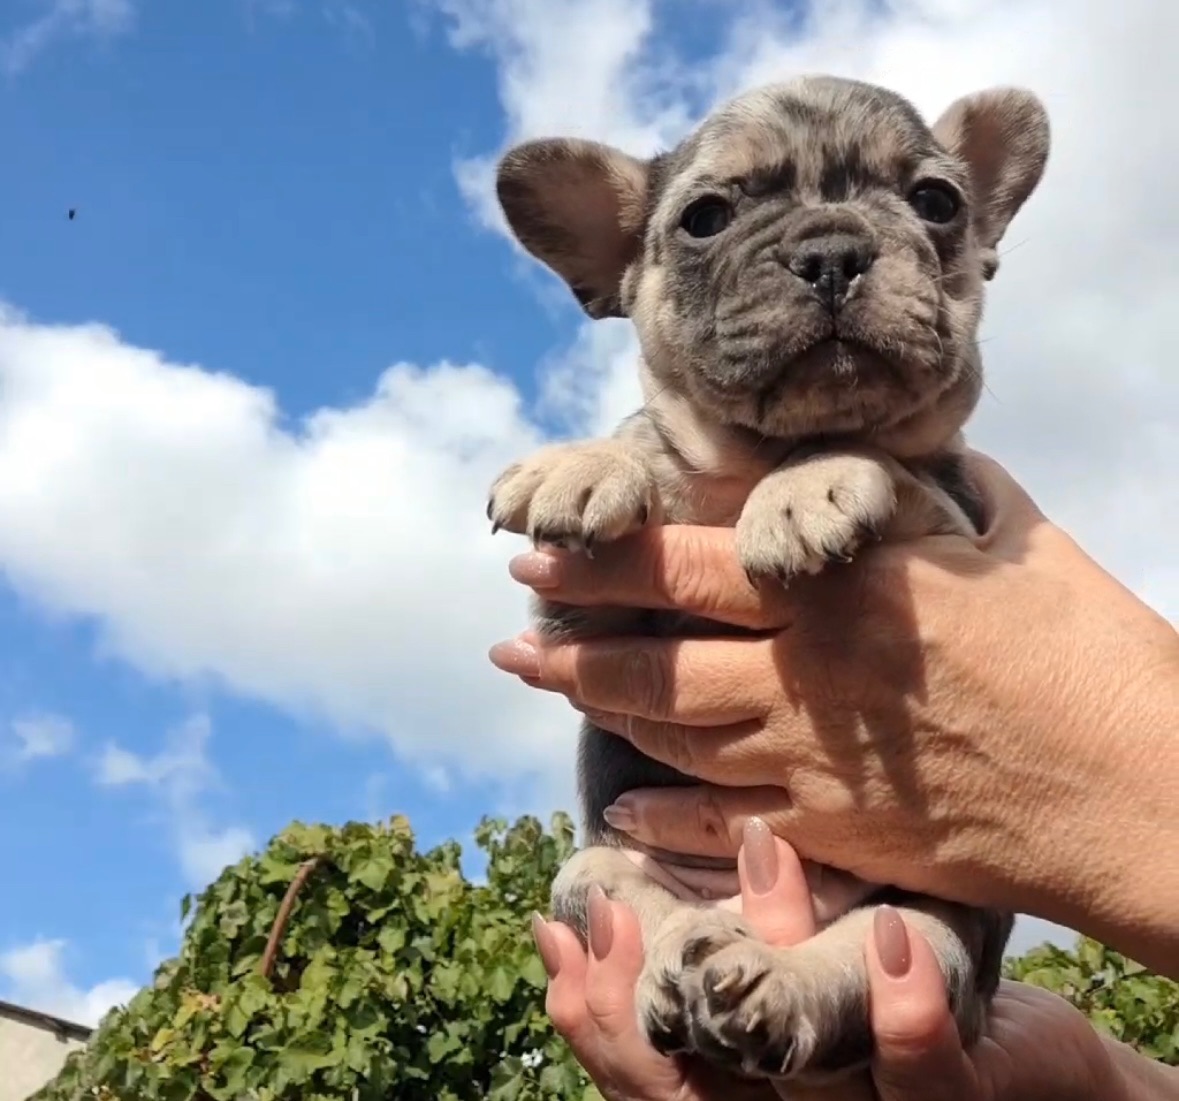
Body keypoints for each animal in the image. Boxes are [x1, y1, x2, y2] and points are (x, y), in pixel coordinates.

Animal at [485, 77, 1051, 1084]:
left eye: (936, 201)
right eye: (706, 217)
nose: (830, 250)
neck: (751, 459)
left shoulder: (951, 514)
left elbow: (871, 450)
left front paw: (808, 484)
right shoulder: (580, 616)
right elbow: (640, 452)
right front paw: (585, 462)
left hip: (938, 933)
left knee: (865, 960)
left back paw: (765, 982)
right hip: (587, 875)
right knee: (643, 911)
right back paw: (684, 966)